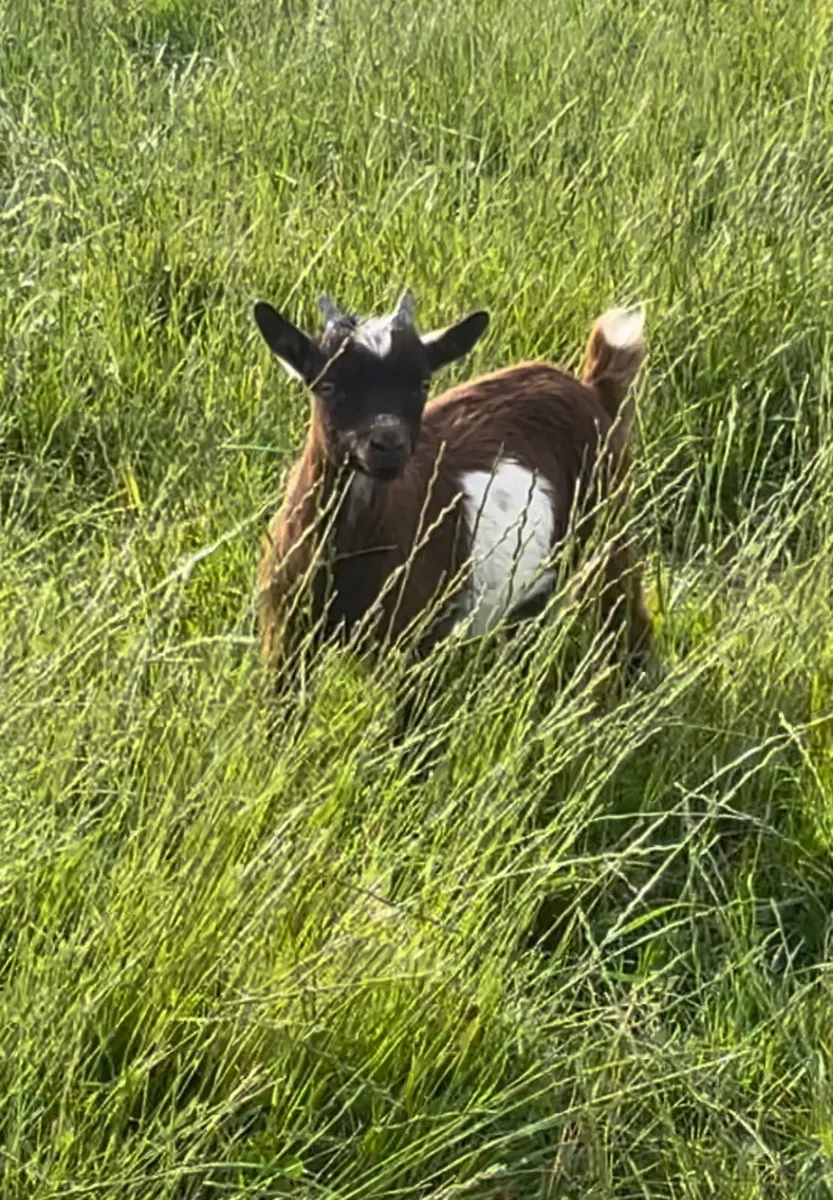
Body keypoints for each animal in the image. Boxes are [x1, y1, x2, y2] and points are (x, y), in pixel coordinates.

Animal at [252, 288, 651, 682]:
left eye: (423, 384)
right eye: (328, 385)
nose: (388, 443)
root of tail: (591, 390)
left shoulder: (410, 642)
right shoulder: (285, 633)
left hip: (607, 528)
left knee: (628, 617)